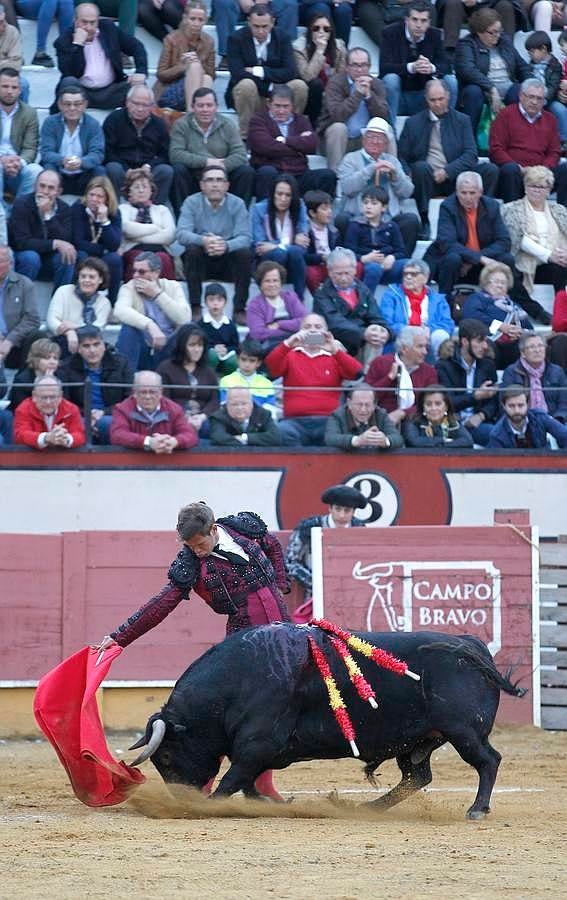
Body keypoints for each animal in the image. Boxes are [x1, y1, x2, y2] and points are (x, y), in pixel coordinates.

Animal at [130, 624, 528, 820]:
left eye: (166, 757)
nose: (181, 797)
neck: (236, 680)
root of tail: (470, 645)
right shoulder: (255, 753)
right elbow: (248, 784)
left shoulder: (256, 745)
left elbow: (232, 781)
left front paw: (209, 805)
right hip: (417, 741)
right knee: (417, 776)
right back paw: (366, 808)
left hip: (464, 731)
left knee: (488, 761)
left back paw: (477, 809)